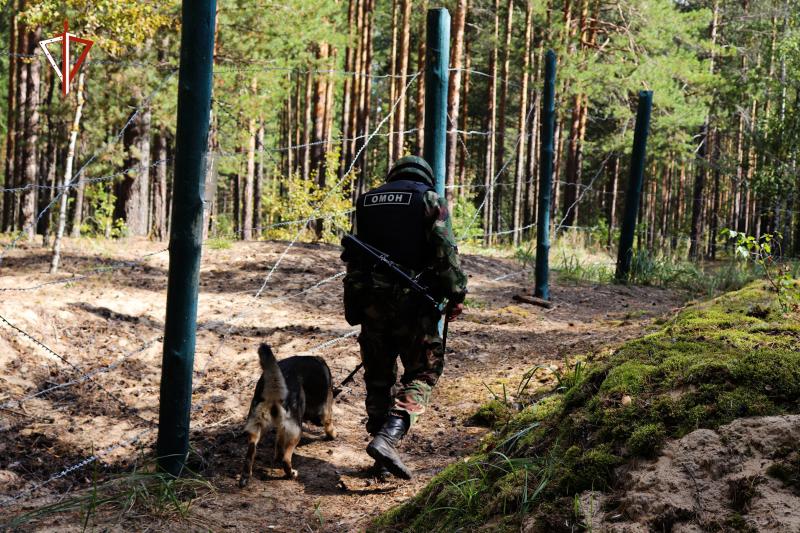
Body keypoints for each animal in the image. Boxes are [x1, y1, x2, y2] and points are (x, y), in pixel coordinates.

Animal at [239, 340, 336, 486]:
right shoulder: (326, 406)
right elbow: (329, 422)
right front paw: (332, 434)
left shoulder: (281, 426)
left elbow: (279, 443)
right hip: (296, 432)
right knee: (286, 459)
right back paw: (291, 474)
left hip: (256, 426)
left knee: (250, 452)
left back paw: (245, 476)